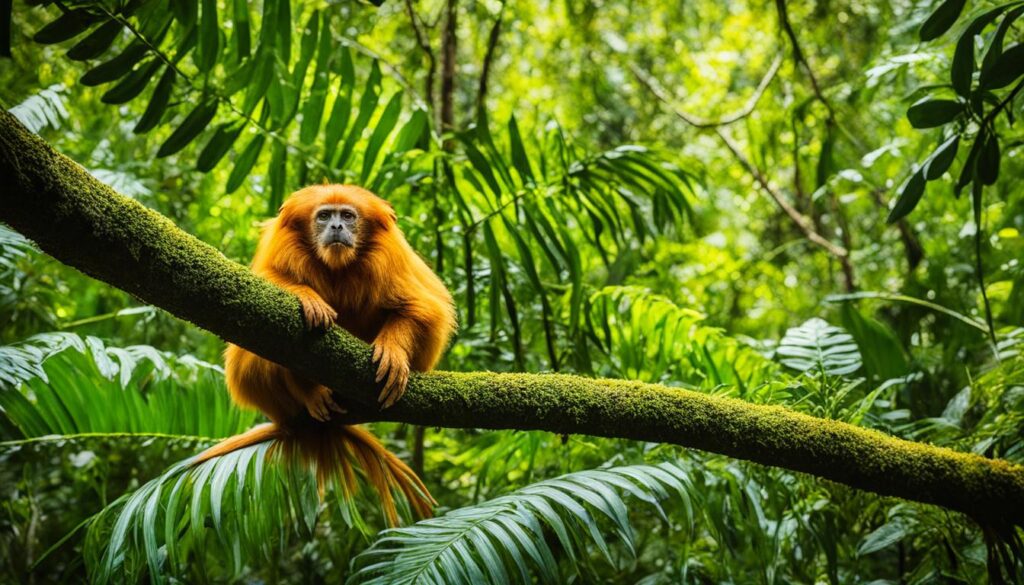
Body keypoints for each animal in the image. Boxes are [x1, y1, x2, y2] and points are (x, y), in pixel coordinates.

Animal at [194, 184, 456, 524]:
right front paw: (308, 297)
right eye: (324, 216)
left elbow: (422, 310)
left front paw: (394, 352)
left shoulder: (392, 259)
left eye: (347, 216)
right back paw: (307, 390)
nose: (337, 227)